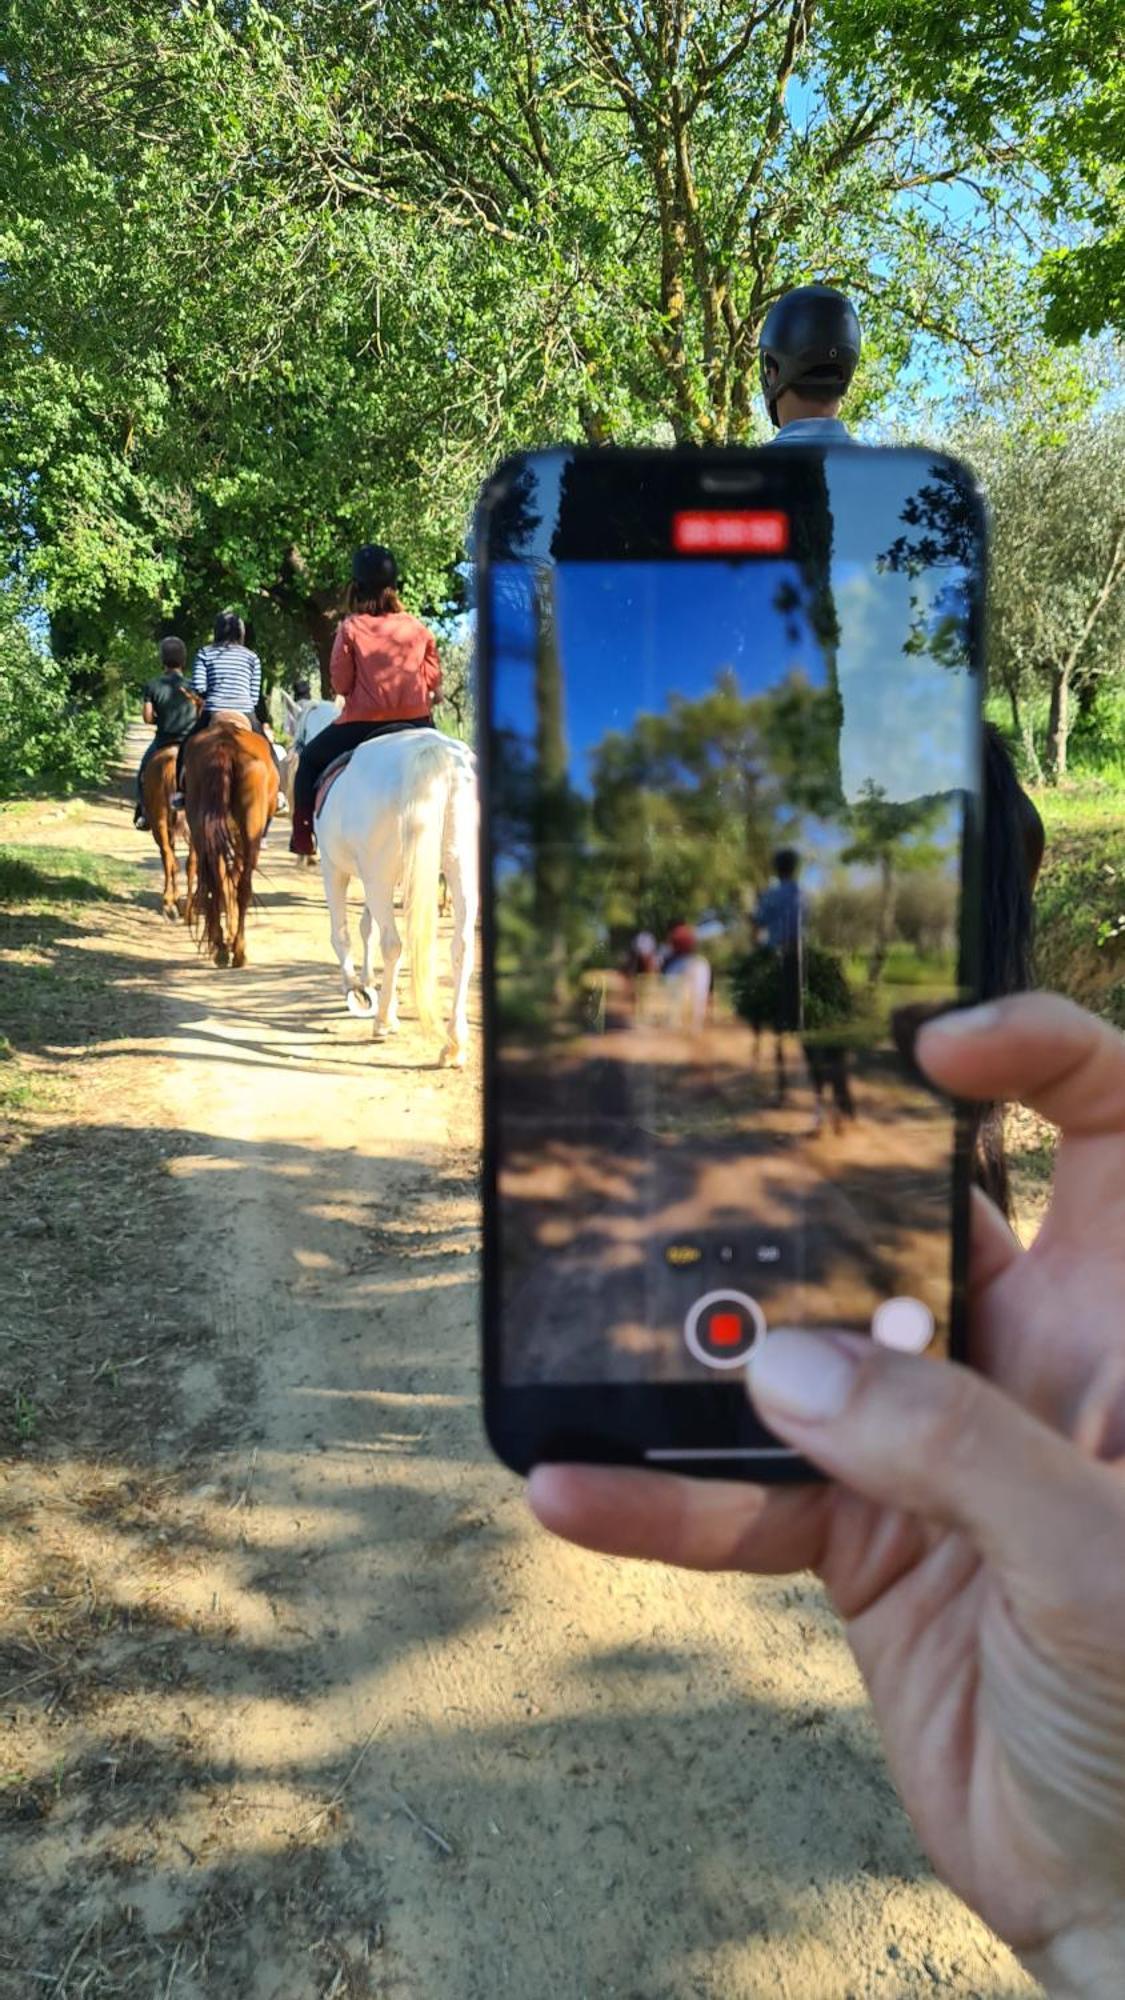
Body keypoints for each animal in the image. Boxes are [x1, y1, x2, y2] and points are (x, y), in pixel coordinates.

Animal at [184, 720, 278, 968]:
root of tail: (226, 745)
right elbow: (232, 880)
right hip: (249, 831)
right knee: (240, 885)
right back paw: (237, 950)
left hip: (203, 828)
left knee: (218, 881)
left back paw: (223, 948)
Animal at [310, 736, 476, 1072]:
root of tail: (430, 748)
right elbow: (366, 928)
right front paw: (368, 980)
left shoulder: (334, 869)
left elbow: (342, 933)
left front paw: (354, 986)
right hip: (460, 865)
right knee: (462, 947)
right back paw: (454, 1045)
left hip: (378, 876)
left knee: (393, 944)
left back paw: (384, 1019)